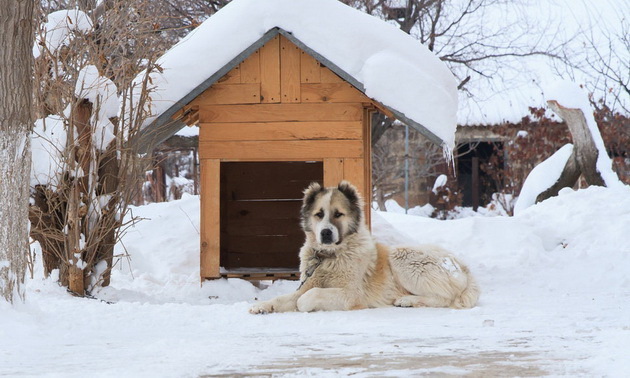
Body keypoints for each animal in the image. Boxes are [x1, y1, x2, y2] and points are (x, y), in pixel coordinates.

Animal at [249, 180, 482, 314]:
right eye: (319, 214)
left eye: (338, 214)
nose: (326, 233)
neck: (330, 256)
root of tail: (463, 266)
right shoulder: (307, 283)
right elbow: (284, 298)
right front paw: (262, 306)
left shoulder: (351, 295)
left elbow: (308, 297)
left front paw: (302, 305)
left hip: (402, 256)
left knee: (444, 298)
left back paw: (406, 300)